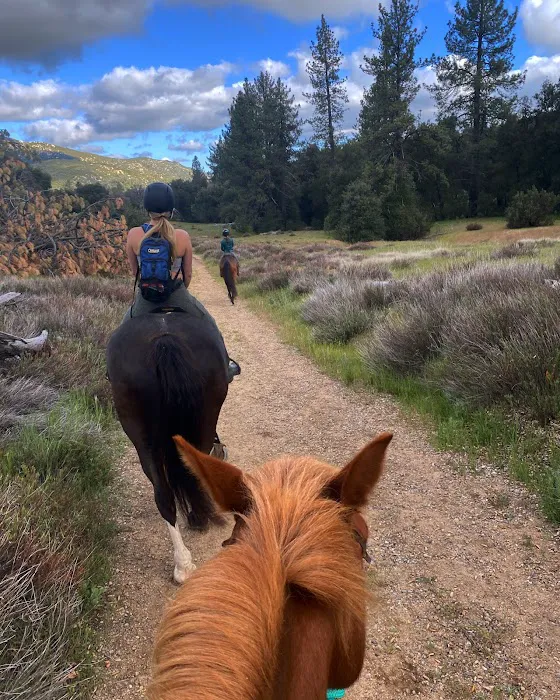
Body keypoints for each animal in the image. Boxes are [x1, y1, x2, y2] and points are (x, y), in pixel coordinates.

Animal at [106, 309, 230, 584]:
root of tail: (164, 340)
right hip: (204, 424)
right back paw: (195, 530)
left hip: (141, 435)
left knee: (163, 496)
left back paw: (182, 565)